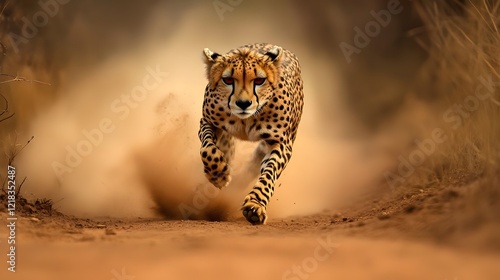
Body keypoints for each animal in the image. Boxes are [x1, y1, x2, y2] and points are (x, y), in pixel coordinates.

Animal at [197, 42, 302, 224]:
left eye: (259, 80)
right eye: (228, 80)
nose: (243, 103)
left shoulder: (281, 143)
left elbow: (269, 173)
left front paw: (255, 205)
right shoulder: (207, 121)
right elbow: (207, 149)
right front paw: (218, 174)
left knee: (254, 165)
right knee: (227, 146)